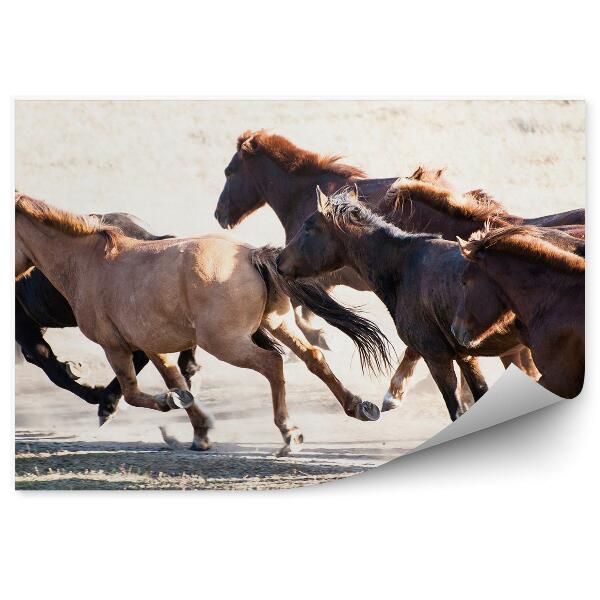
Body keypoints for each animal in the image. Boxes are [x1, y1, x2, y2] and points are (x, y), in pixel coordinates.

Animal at [15, 213, 199, 424]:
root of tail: (152, 237)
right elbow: (38, 359)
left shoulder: (22, 325)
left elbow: (50, 367)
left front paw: (92, 390)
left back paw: (108, 402)